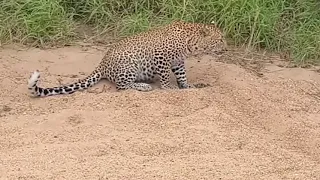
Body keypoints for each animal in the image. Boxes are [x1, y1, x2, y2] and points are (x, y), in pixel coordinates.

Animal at [26, 19, 228, 97]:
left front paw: (187, 87)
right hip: (129, 66)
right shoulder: (161, 56)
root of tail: (102, 64)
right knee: (122, 86)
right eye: (219, 40)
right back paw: (144, 86)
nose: (226, 48)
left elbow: (182, 75)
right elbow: (164, 76)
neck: (190, 43)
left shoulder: (178, 62)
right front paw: (168, 88)